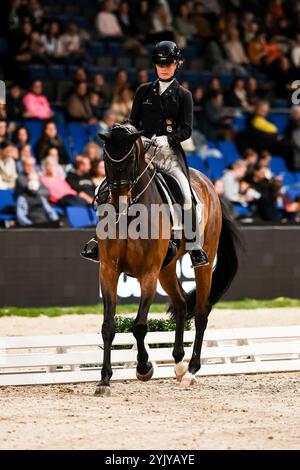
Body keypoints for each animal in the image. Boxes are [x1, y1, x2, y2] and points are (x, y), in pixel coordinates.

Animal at [95, 123, 240, 394]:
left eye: (130, 159)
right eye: (106, 159)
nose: (118, 205)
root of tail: (210, 185)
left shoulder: (148, 273)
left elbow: (139, 326)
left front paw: (144, 368)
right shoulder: (108, 270)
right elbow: (108, 327)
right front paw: (104, 381)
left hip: (201, 263)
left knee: (201, 311)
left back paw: (191, 370)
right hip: (167, 269)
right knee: (182, 303)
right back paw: (179, 362)